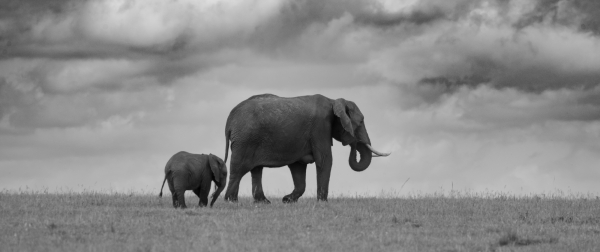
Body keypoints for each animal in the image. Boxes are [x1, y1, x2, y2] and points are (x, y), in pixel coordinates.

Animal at [221, 94, 390, 203]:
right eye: (360, 122)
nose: (354, 142)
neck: (334, 101)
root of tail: (229, 121)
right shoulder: (320, 127)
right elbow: (325, 160)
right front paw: (322, 203)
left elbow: (298, 167)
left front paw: (287, 200)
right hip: (245, 139)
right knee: (238, 169)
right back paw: (231, 201)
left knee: (255, 169)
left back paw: (263, 202)